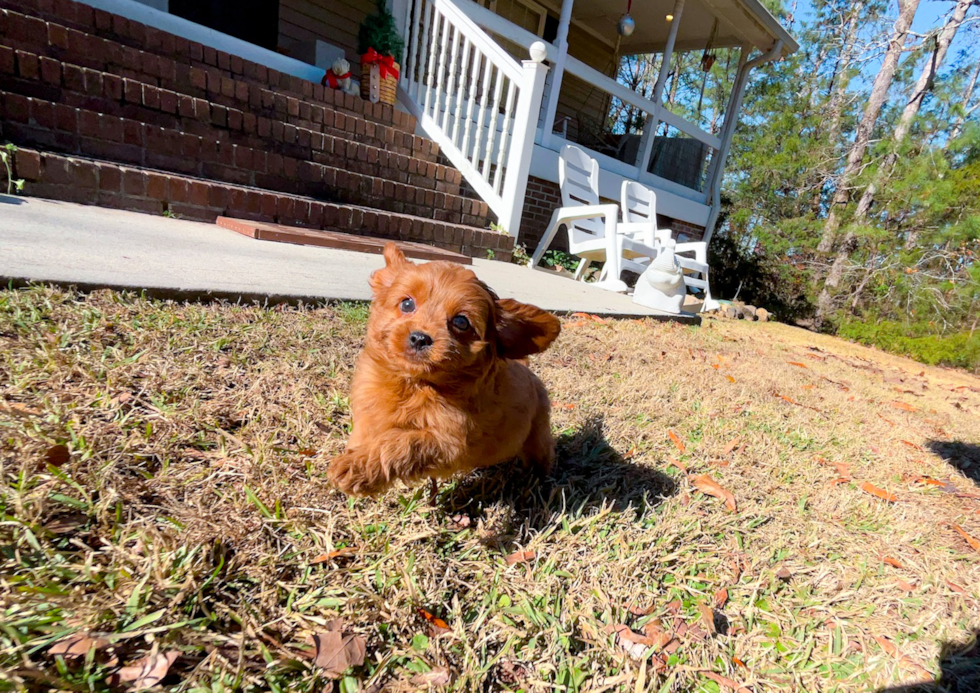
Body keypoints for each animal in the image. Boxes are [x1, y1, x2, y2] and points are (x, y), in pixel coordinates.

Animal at [328, 242, 560, 492]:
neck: (415, 383)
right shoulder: (370, 398)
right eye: (407, 304)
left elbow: (404, 443)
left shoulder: (449, 441)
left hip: (537, 432)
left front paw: (355, 469)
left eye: (461, 322)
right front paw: (357, 456)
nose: (420, 338)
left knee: (541, 452)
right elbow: (369, 427)